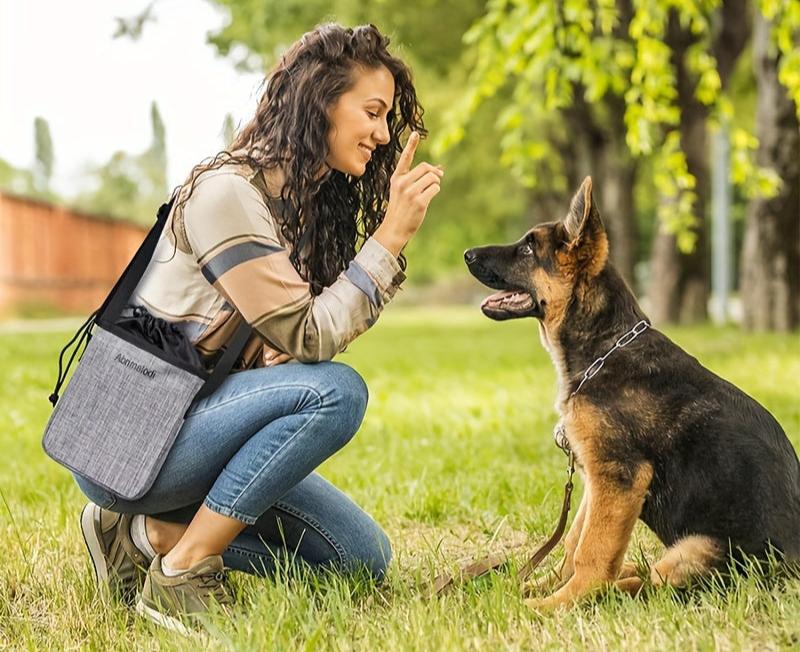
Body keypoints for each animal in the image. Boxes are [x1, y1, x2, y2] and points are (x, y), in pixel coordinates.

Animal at [462, 176, 800, 608]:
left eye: (527, 248)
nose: (467, 254)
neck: (605, 348)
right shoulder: (595, 477)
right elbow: (575, 542)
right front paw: (543, 585)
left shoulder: (618, 476)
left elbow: (592, 552)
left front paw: (557, 603)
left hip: (699, 552)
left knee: (655, 588)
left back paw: (611, 589)